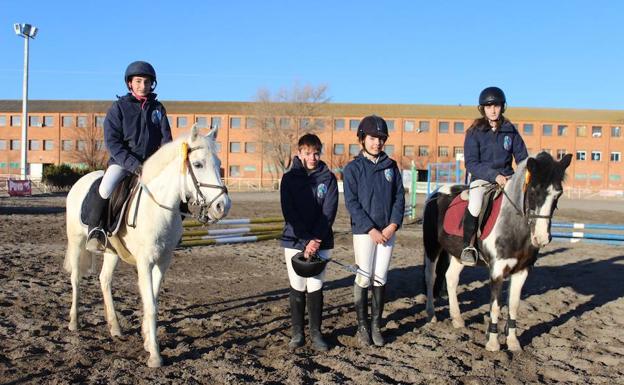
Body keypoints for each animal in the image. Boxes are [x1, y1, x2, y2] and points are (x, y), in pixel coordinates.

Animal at [63, 125, 230, 366]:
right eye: (198, 164)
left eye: (218, 163)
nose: (222, 207)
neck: (158, 208)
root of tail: (82, 180)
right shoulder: (145, 262)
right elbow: (150, 303)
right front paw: (155, 355)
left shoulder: (163, 260)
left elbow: (154, 300)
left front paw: (146, 339)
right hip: (76, 241)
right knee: (76, 279)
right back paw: (74, 322)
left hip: (112, 251)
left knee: (105, 280)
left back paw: (115, 327)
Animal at [422, 152, 572, 350]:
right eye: (533, 191)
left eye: (558, 193)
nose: (541, 238)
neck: (513, 225)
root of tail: (438, 192)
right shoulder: (497, 270)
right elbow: (495, 305)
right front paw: (493, 342)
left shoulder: (522, 271)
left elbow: (513, 305)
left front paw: (513, 342)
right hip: (431, 246)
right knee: (430, 277)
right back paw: (431, 315)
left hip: (458, 254)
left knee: (451, 278)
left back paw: (457, 319)